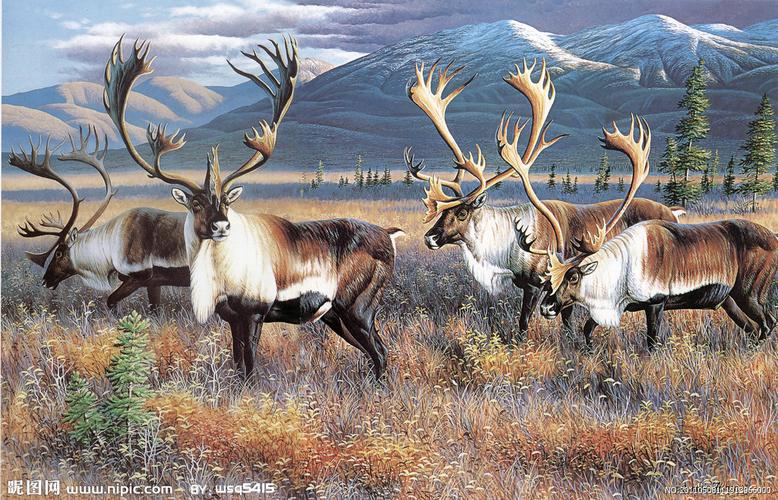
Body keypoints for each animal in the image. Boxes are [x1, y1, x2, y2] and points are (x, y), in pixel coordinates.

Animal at [10, 126, 190, 309]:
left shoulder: (141, 276)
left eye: (59, 253)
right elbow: (154, 307)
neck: (109, 248)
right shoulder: (153, 283)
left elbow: (110, 300)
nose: (45, 281)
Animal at [104, 36, 404, 378]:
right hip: (335, 315)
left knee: (381, 350)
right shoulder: (232, 316)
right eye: (196, 203)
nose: (221, 225)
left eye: (227, 201)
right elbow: (237, 363)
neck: (219, 273)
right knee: (375, 351)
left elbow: (248, 365)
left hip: (358, 307)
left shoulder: (254, 312)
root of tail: (389, 234)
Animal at [405, 59, 684, 346]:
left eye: (462, 212)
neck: (507, 245)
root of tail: (674, 213)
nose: (430, 237)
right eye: (442, 210)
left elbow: (533, 320)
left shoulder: (542, 282)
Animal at [512, 116, 778, 349]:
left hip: (751, 292)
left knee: (768, 323)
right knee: (753, 327)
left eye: (574, 276)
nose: (546, 307)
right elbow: (587, 329)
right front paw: (587, 350)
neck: (620, 273)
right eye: (549, 277)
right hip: (729, 300)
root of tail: (775, 238)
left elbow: (652, 341)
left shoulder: (656, 302)